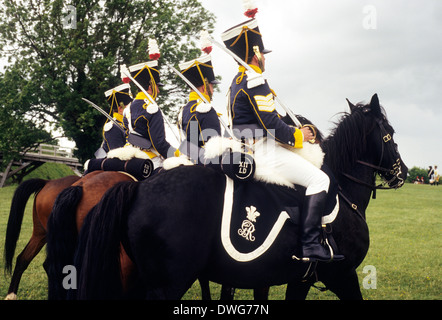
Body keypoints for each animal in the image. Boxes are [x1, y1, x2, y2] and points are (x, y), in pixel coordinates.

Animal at [47, 94, 408, 298]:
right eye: (389, 134)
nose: (402, 173)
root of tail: (138, 186)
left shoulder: (296, 280)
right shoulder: (342, 275)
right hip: (164, 285)